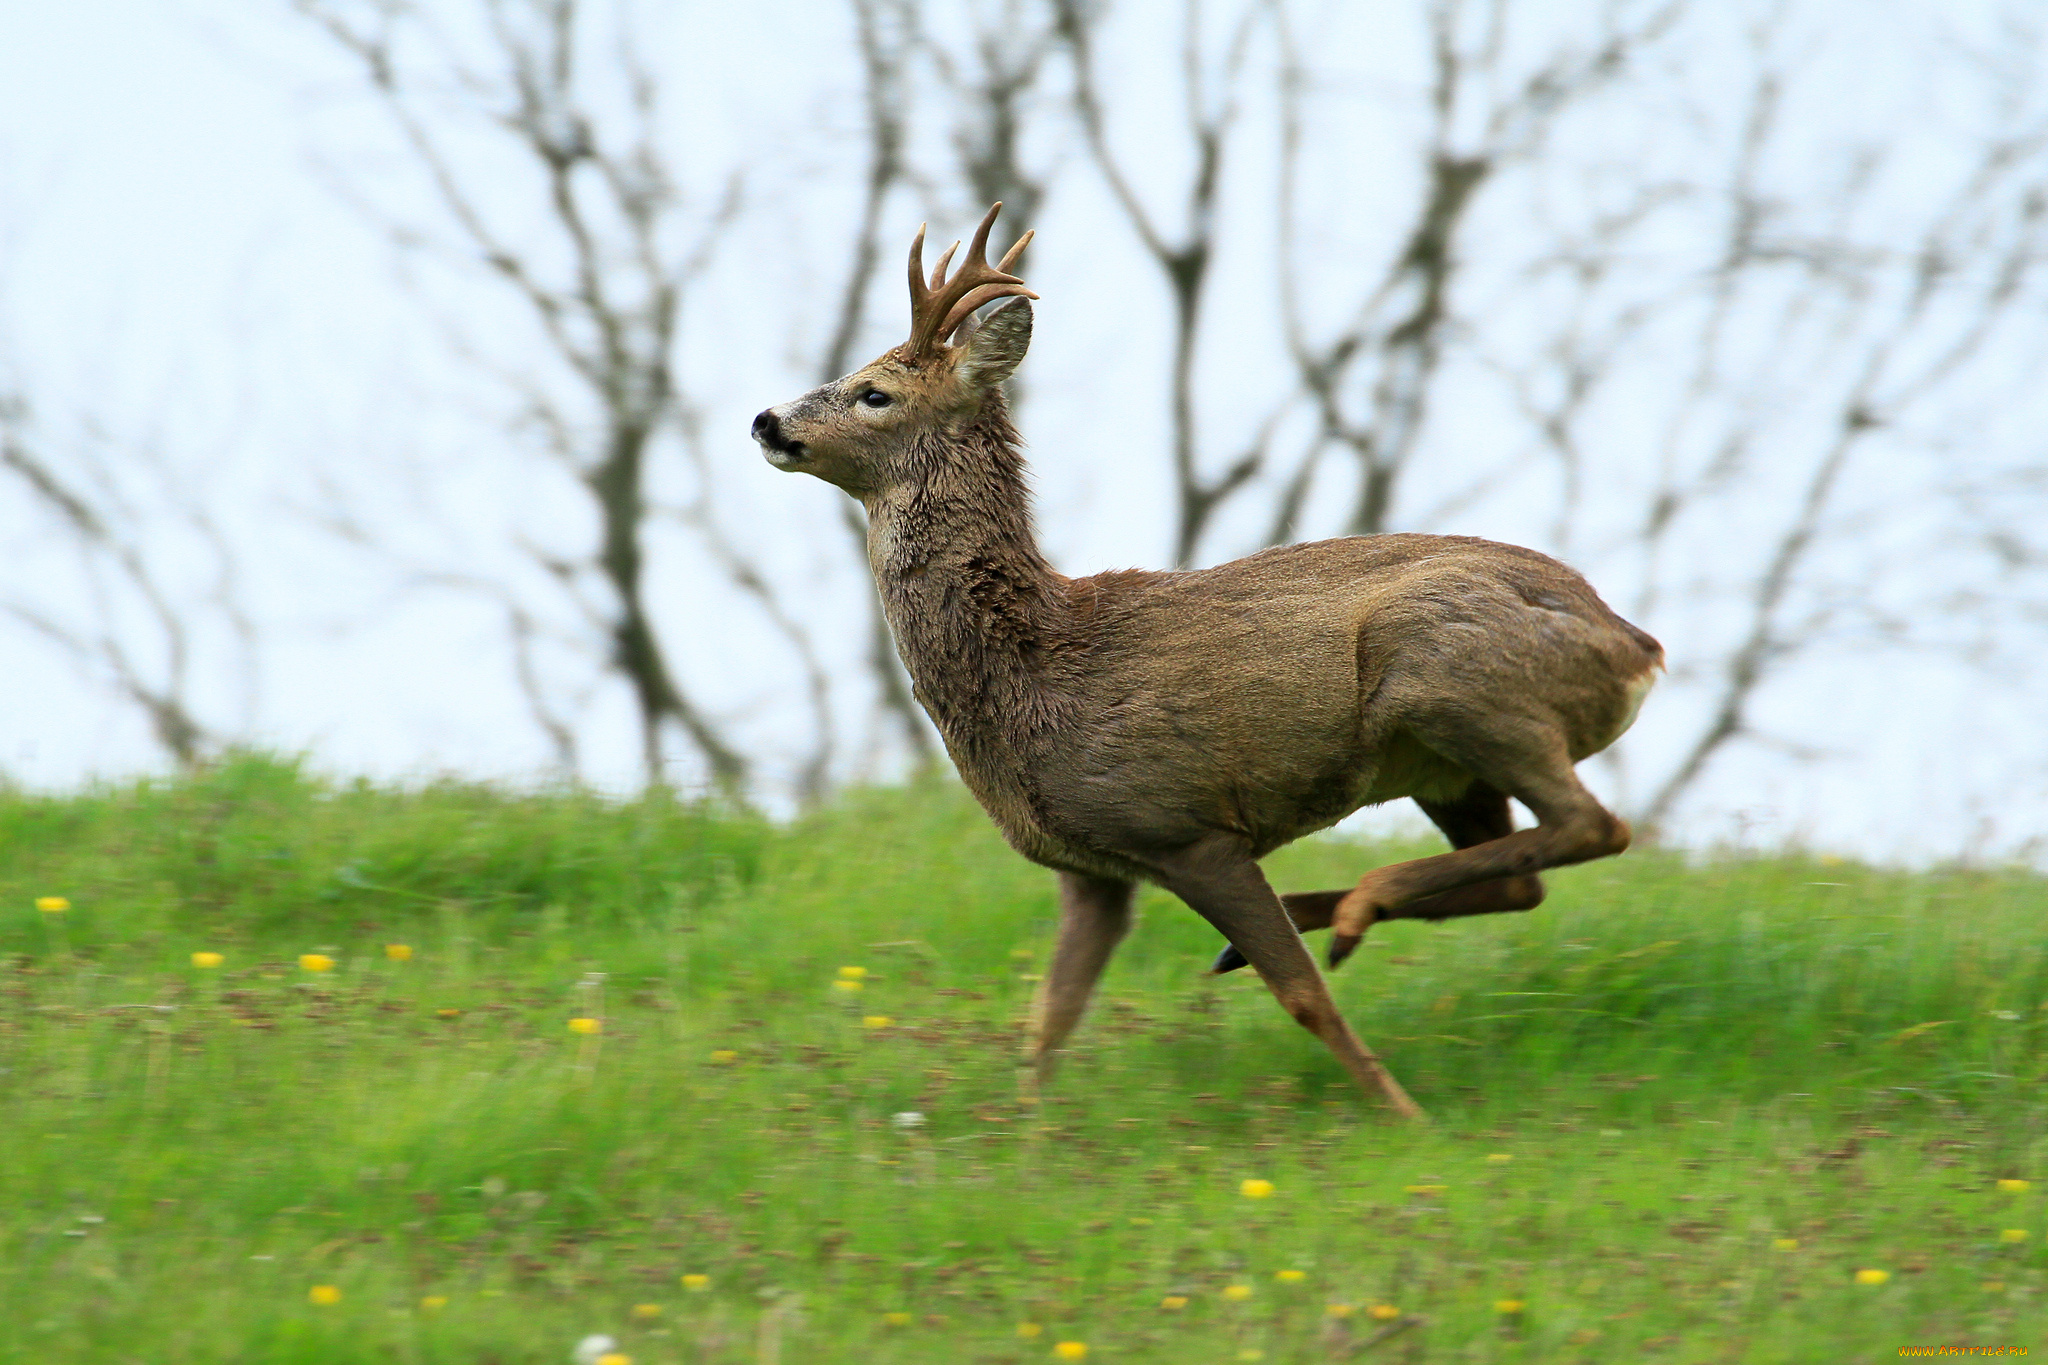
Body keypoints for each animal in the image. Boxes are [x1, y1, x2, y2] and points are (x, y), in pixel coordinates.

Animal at [753, 205, 1662, 1121]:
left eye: (875, 391)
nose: (765, 420)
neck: (1032, 668)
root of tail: (1633, 644)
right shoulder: (1092, 871)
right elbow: (1048, 1022)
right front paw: (1020, 1134)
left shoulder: (1186, 829)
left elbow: (1304, 997)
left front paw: (1406, 1117)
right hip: (1444, 765)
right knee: (1526, 876)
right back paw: (1315, 917)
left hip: (1455, 678)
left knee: (1592, 825)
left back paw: (1353, 905)